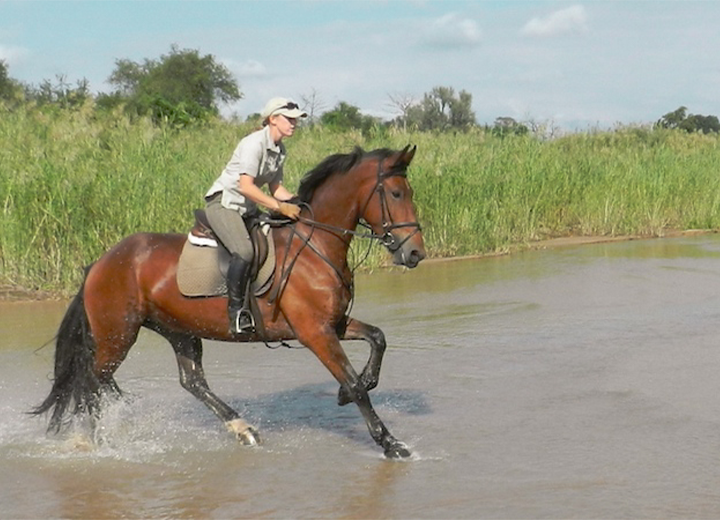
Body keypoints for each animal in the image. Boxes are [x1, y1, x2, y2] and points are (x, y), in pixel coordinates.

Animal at [33, 145, 426, 459]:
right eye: (395, 193)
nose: (415, 253)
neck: (315, 245)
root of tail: (100, 263)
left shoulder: (334, 323)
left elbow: (377, 338)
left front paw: (353, 391)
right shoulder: (315, 332)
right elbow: (356, 385)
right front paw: (391, 443)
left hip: (178, 329)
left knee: (192, 381)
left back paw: (243, 429)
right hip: (118, 335)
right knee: (92, 382)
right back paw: (95, 443)